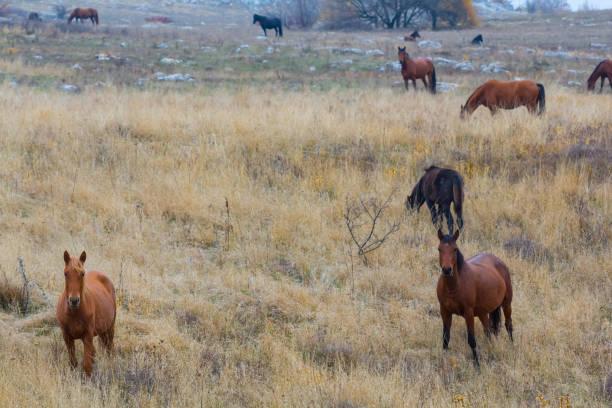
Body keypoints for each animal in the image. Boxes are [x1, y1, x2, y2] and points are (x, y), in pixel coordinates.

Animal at [57, 250, 116, 378]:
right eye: (65, 274)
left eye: (82, 274)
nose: (74, 301)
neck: (74, 312)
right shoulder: (67, 336)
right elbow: (73, 363)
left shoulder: (88, 335)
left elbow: (87, 366)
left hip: (109, 329)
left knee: (110, 350)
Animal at [432, 231, 512, 368]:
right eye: (439, 249)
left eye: (455, 249)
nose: (447, 270)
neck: (454, 287)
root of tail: (499, 261)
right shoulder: (444, 311)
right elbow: (445, 338)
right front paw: (442, 361)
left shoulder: (468, 313)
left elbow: (471, 339)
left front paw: (477, 365)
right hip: (482, 312)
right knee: (488, 331)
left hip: (506, 304)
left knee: (508, 325)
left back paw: (513, 346)